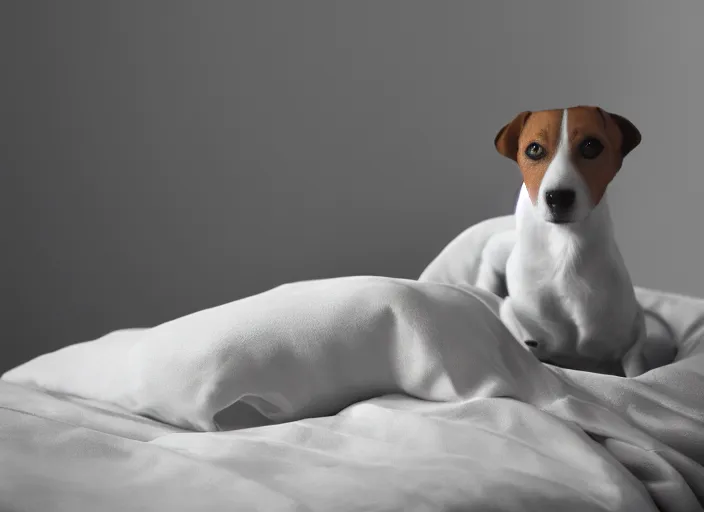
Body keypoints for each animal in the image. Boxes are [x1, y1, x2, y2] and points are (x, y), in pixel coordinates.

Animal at [476, 106, 648, 376]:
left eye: (591, 146)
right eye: (534, 149)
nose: (558, 197)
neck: (566, 251)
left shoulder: (633, 337)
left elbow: (636, 367)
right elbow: (512, 319)